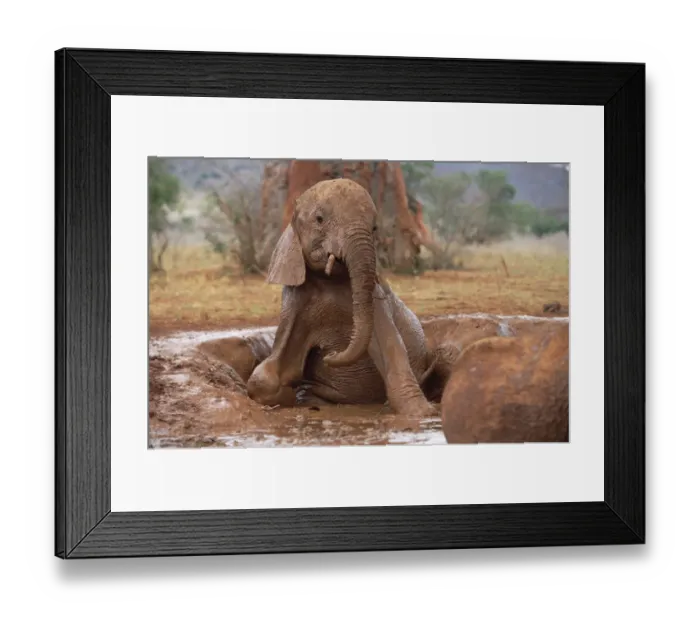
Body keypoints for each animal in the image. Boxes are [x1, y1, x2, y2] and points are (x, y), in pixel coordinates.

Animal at [246, 177, 437, 420]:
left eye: (374, 228)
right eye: (319, 219)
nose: (330, 353)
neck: (329, 281)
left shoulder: (376, 299)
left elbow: (391, 347)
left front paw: (423, 413)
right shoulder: (295, 304)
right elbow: (268, 375)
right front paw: (290, 397)